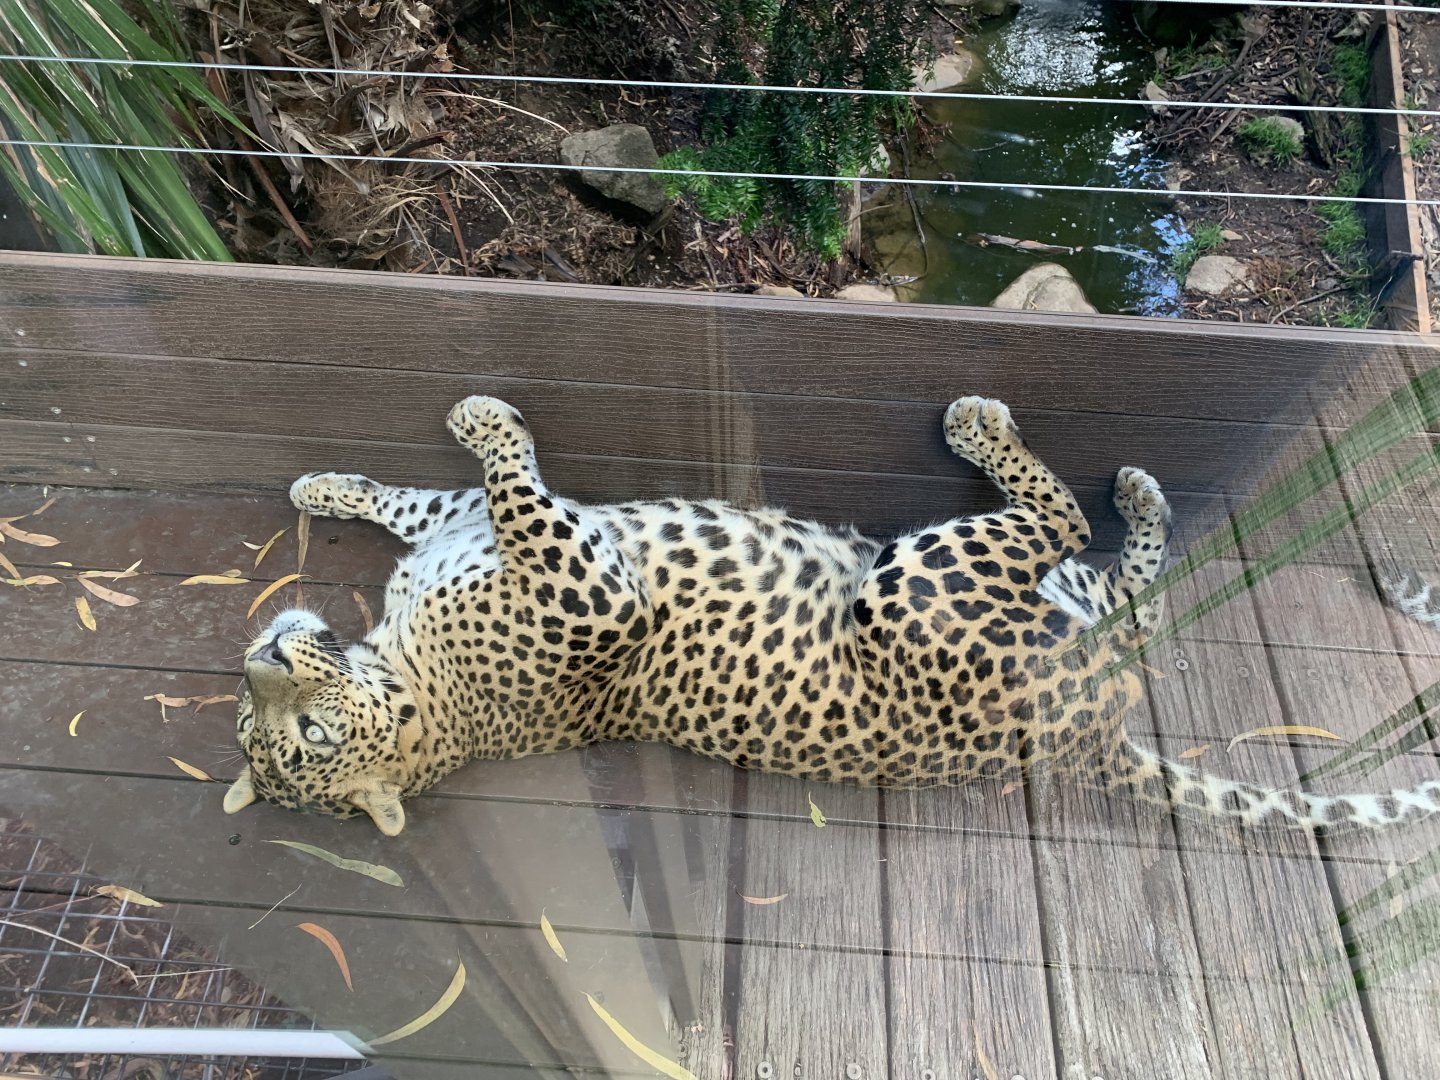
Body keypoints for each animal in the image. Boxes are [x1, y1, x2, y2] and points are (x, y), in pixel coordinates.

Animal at [223, 394, 1440, 836]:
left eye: (290, 729)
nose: (265, 652)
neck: (403, 669)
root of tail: (1086, 734)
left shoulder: (485, 534)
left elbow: (433, 494)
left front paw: (324, 484)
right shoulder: (585, 586)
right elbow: (506, 484)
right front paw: (480, 418)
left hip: (1029, 597)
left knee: (1119, 583)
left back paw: (1134, 495)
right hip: (926, 583)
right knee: (1056, 530)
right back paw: (985, 425)